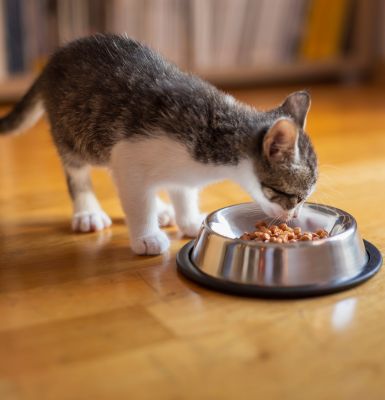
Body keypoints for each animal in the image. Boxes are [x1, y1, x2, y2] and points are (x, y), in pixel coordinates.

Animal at [0, 33, 316, 253]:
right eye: (294, 196)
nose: (294, 216)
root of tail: (53, 58)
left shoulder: (177, 167)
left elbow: (182, 190)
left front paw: (188, 220)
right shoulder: (129, 152)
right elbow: (137, 199)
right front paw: (146, 236)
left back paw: (162, 209)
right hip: (74, 130)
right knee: (77, 170)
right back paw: (88, 211)